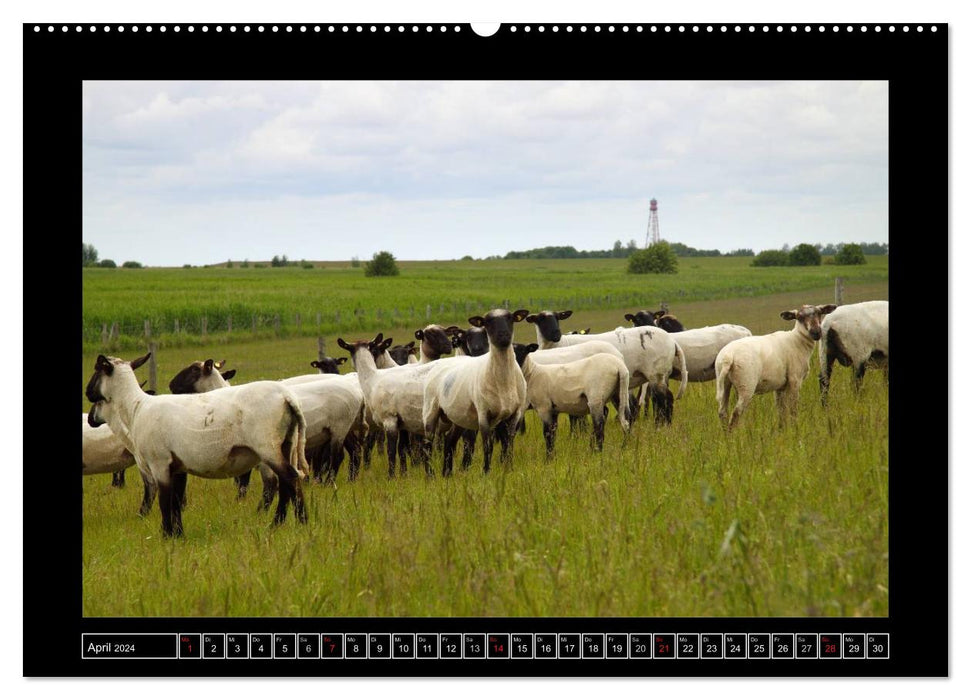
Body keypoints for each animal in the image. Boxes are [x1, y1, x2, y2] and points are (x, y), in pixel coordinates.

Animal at [87, 352, 310, 540]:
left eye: (97, 369)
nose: (87, 394)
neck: (135, 408)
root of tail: (287, 397)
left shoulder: (160, 463)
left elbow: (165, 501)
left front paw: (166, 536)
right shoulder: (176, 466)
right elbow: (176, 501)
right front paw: (178, 535)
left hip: (267, 445)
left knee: (290, 478)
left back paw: (301, 522)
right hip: (286, 443)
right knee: (287, 483)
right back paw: (278, 524)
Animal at [424, 310, 532, 478]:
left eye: (510, 318)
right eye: (487, 322)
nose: (503, 335)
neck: (503, 380)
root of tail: (437, 364)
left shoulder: (515, 413)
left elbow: (508, 444)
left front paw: (509, 469)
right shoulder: (484, 413)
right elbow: (488, 446)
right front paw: (486, 473)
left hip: (458, 417)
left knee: (449, 441)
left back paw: (447, 474)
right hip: (430, 411)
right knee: (427, 445)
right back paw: (431, 476)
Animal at [528, 308, 688, 424]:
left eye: (558, 318)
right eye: (540, 320)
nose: (556, 334)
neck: (560, 345)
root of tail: (672, 341)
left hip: (657, 373)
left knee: (664, 399)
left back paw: (660, 426)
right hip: (661, 374)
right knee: (666, 398)